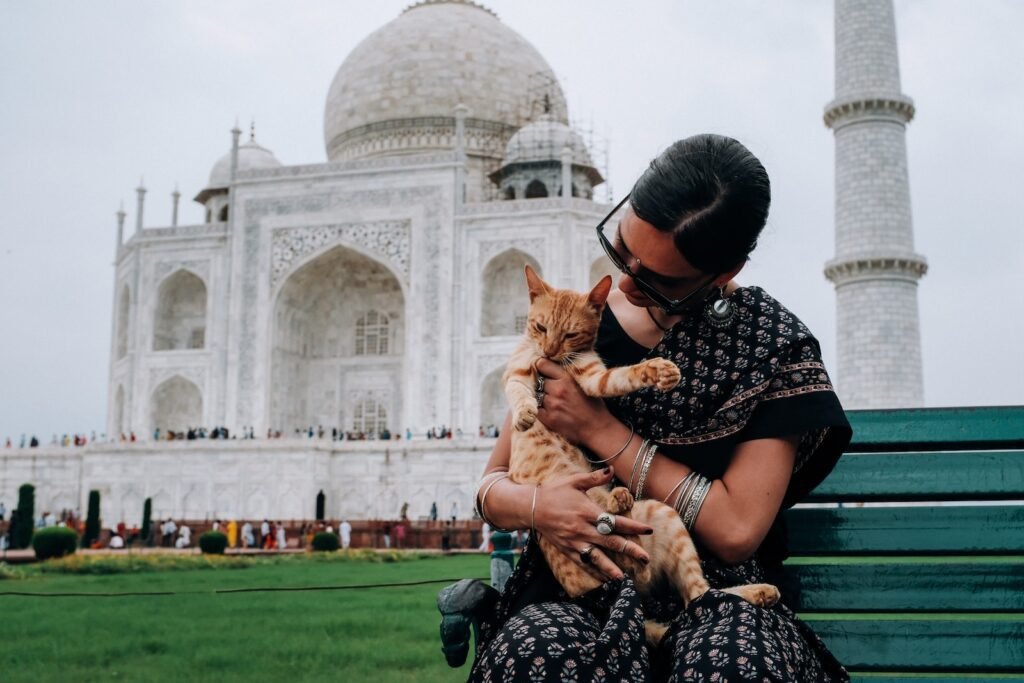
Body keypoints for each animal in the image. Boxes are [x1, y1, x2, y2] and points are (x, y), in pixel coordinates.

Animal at [505, 266, 782, 634]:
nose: (549, 352)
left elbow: (620, 377)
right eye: (540, 327)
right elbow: (518, 390)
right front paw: (525, 415)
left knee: (693, 593)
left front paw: (657, 370)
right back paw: (618, 503)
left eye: (571, 334)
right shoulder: (517, 371)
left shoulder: (592, 378)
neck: (558, 364)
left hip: (662, 516)